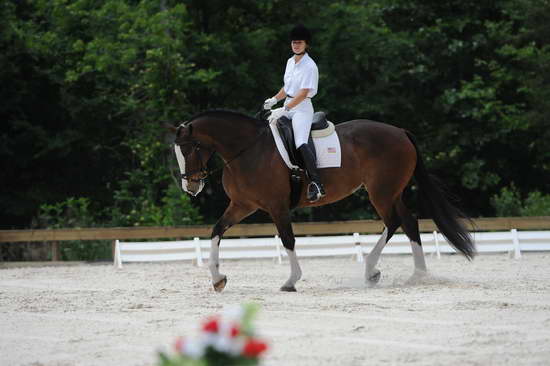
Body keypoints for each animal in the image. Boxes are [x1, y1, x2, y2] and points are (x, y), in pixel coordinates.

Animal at [170, 108, 476, 292]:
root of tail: (400, 131)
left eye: (190, 148)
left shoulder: (277, 207)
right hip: (391, 191)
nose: (191, 186)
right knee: (408, 221)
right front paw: (218, 279)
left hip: (381, 191)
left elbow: (288, 240)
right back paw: (417, 275)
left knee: (394, 221)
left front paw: (291, 281)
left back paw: (374, 271)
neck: (247, 150)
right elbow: (216, 231)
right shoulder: (242, 206)